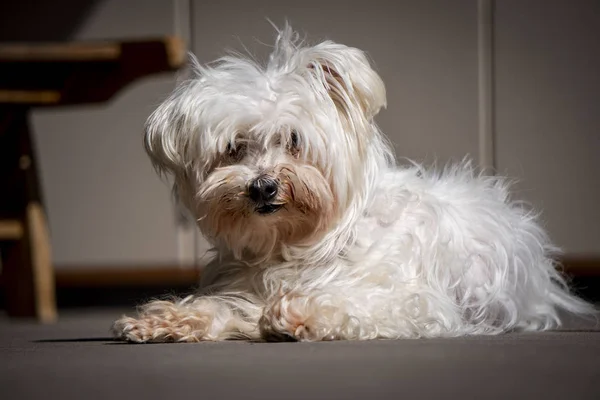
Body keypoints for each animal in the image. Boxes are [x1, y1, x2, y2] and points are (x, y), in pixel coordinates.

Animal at [112, 25, 596, 342]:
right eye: (234, 148)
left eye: (294, 141)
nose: (263, 187)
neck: (299, 245)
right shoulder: (243, 288)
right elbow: (224, 307)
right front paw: (167, 320)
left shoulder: (413, 301)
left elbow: (353, 303)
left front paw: (301, 314)